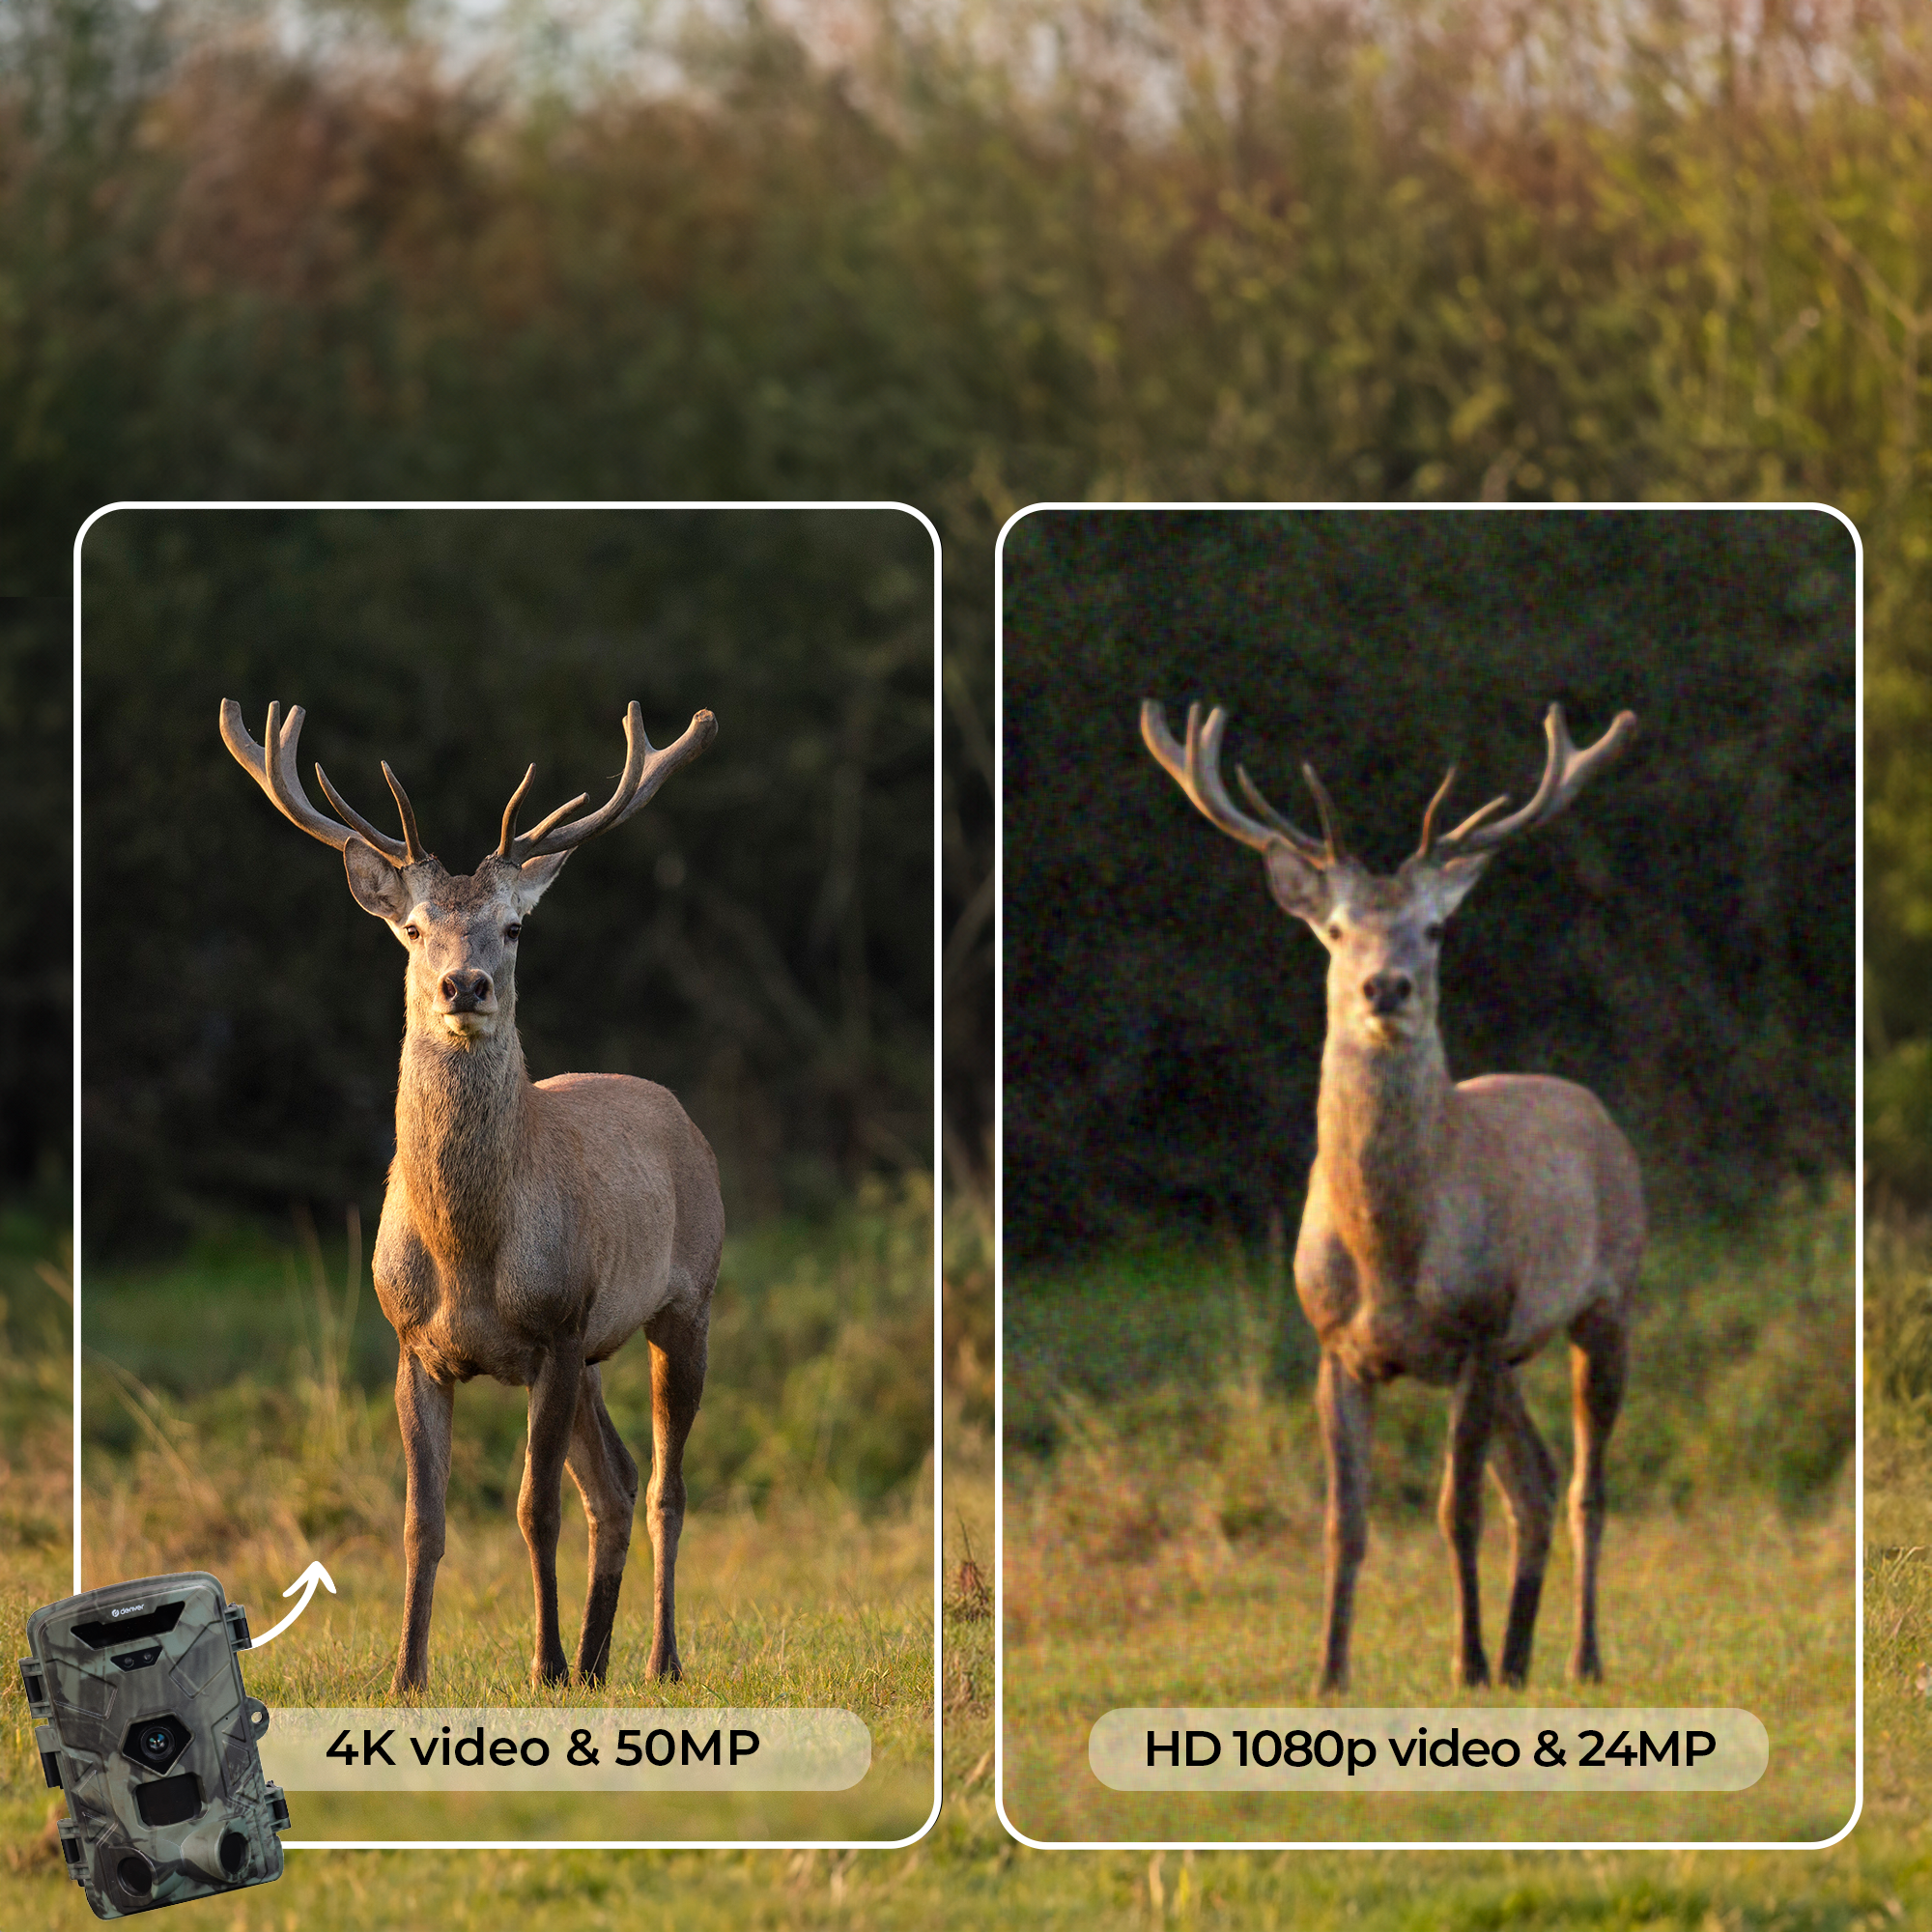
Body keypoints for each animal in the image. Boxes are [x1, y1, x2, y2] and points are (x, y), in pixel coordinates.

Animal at [220, 696, 726, 1696]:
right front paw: (406, 1676)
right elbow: (424, 1521)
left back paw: (656, 1660)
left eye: (515, 927)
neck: (467, 1253)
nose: (465, 984)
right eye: (414, 928)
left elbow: (534, 1510)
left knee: (661, 1488)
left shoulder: (558, 1326)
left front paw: (541, 1664)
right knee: (614, 1483)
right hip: (597, 1354)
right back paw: (598, 1664)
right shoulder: (414, 1344)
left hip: (684, 1301)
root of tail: (682, 1116)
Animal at [1141, 698, 1645, 1693]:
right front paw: (1328, 1675)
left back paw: (1579, 1657)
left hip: (1605, 1300)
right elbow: (1348, 1522)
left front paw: (1465, 1663)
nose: (1386, 986)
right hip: (1517, 1354)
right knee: (1534, 1483)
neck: (1388, 1253)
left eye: (1437, 929)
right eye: (1335, 929)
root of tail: (1596, 1110)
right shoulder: (1338, 1346)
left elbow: (1456, 1510)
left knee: (1583, 1487)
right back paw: (1522, 1661)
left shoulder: (1480, 1327)